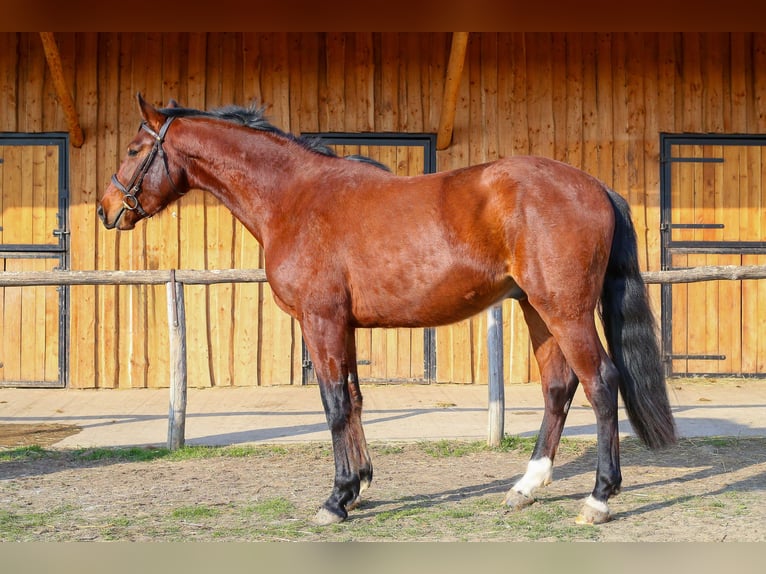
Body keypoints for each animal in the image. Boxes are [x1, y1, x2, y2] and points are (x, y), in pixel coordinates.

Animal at [98, 93, 676, 526]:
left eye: (133, 148)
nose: (106, 210)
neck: (294, 198)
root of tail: (594, 185)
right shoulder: (343, 325)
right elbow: (353, 400)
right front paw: (358, 486)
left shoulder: (321, 321)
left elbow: (334, 405)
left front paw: (336, 499)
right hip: (538, 310)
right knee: (559, 386)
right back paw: (525, 486)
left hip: (567, 311)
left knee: (601, 381)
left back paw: (599, 498)